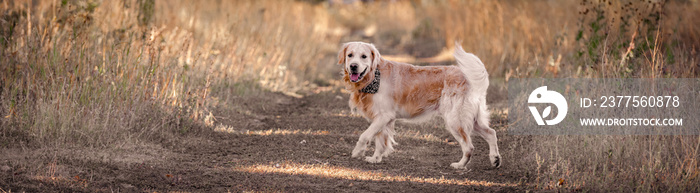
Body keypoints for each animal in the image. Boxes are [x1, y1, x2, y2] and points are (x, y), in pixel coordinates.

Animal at [338, 41, 498, 168]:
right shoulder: (383, 119)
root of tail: (468, 77)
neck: (373, 77)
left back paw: (460, 165)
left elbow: (364, 136)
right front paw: (375, 158)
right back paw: (495, 159)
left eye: (364, 56)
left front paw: (358, 151)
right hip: (471, 120)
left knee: (469, 147)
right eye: (350, 55)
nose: (353, 66)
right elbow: (380, 141)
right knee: (491, 133)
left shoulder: (384, 116)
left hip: (455, 121)